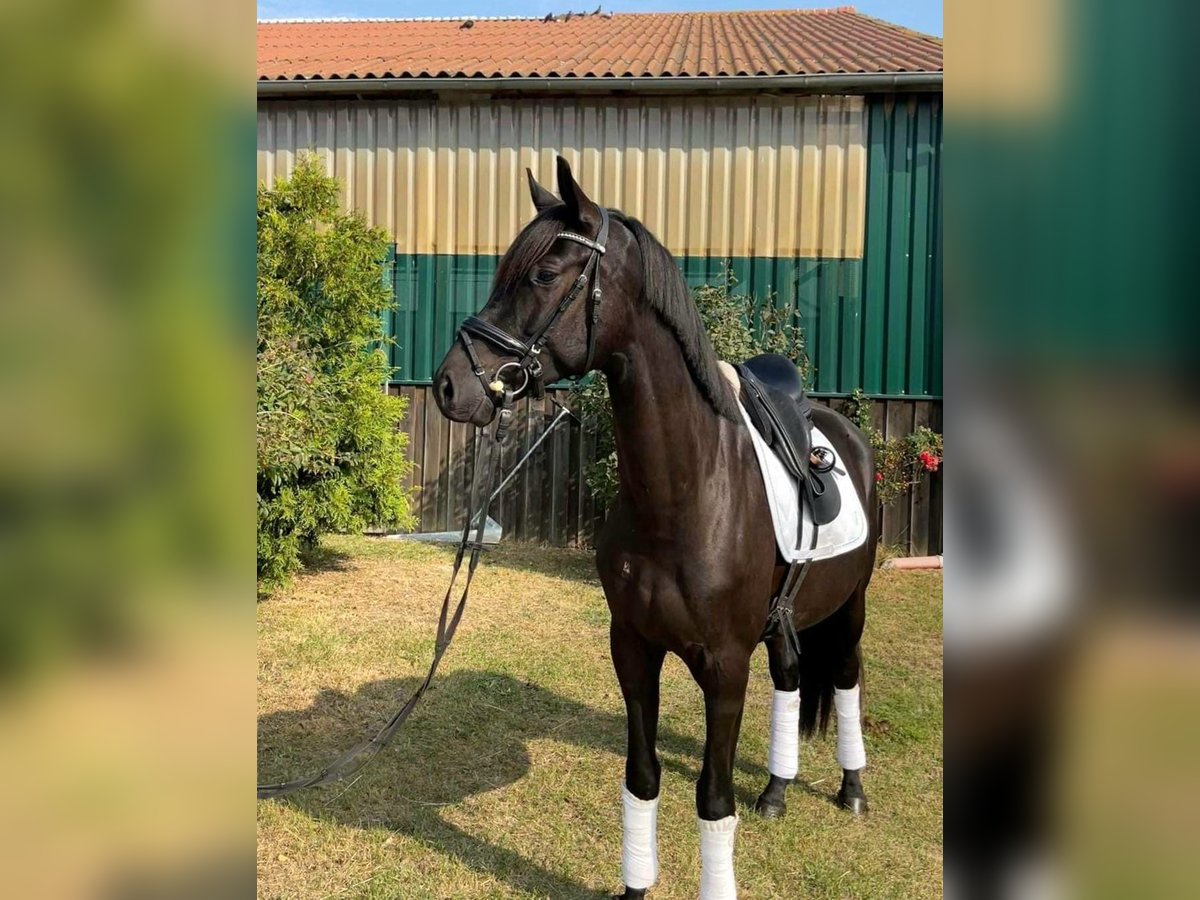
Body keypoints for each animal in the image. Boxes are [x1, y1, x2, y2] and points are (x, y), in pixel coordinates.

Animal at [436, 158, 878, 897]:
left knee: (844, 676)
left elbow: (712, 798)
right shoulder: (634, 647)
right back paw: (777, 791)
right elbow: (642, 779)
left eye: (543, 275)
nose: (450, 386)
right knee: (791, 678)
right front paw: (635, 884)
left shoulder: (725, 667)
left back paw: (851, 788)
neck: (686, 495)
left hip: (851, 606)